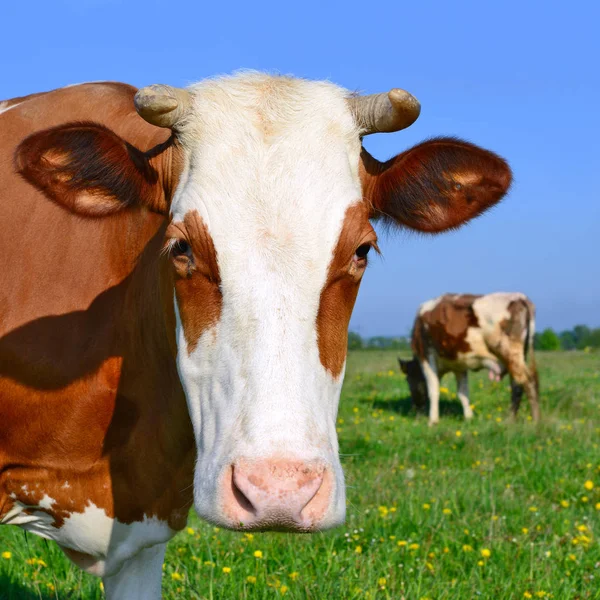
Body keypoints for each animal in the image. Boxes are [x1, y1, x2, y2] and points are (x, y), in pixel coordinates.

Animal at [398, 292, 540, 424]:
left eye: (408, 380)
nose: (415, 409)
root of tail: (520, 297)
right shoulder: (459, 365)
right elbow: (463, 392)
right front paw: (469, 417)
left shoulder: (426, 357)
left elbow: (434, 389)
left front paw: (433, 421)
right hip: (519, 356)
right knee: (517, 385)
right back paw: (512, 420)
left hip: (509, 352)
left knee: (528, 382)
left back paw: (534, 421)